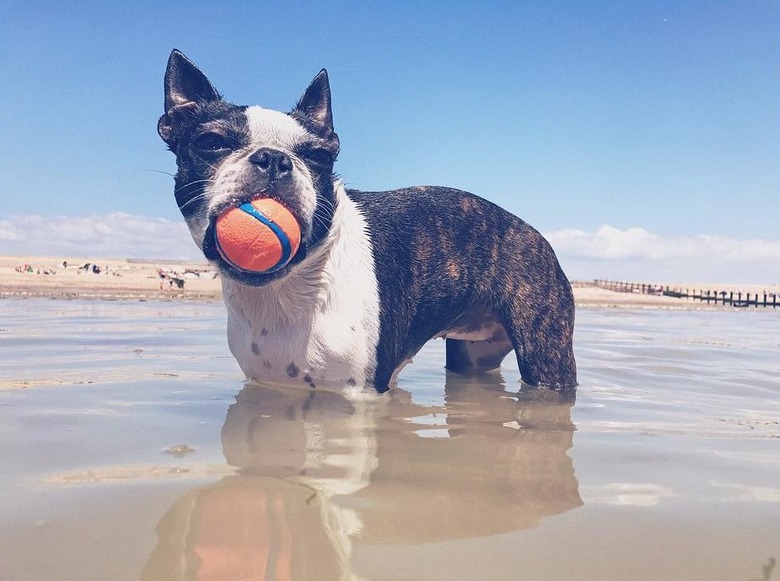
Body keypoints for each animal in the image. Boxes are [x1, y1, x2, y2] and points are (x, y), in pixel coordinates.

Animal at [158, 51, 576, 394]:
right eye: (212, 142)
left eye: (318, 157)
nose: (274, 159)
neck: (289, 288)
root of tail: (536, 235)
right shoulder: (264, 385)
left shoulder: (360, 395)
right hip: (476, 355)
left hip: (546, 356)